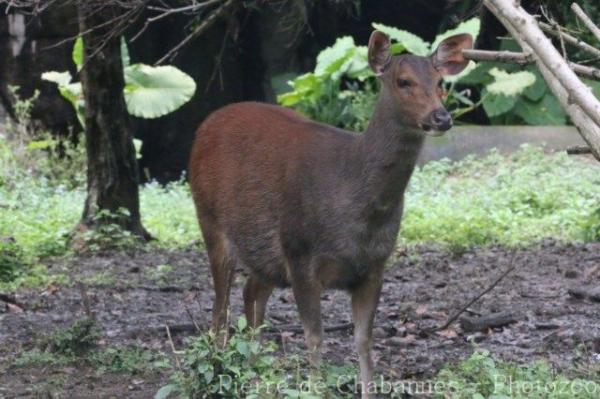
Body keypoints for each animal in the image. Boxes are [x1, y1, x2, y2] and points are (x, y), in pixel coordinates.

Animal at [190, 30, 472, 396]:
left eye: (440, 82)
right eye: (403, 81)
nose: (442, 117)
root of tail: (205, 126)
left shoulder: (374, 266)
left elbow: (363, 341)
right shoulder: (300, 255)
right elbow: (315, 339)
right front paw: (314, 388)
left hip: (265, 252)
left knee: (251, 293)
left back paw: (254, 376)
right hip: (210, 219)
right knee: (219, 310)